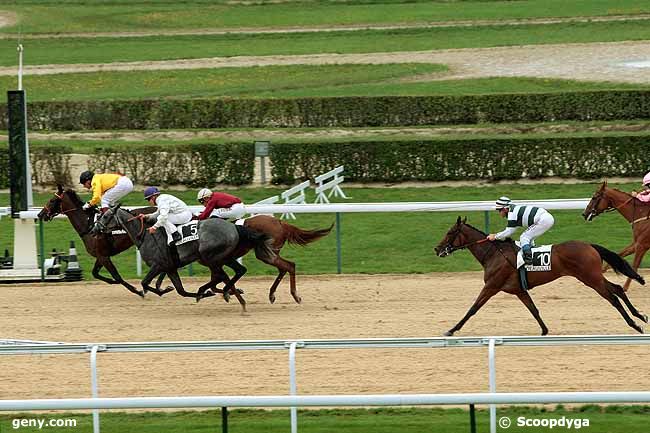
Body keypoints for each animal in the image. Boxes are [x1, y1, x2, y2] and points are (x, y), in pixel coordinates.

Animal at [37, 184, 171, 298]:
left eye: (52, 200)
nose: (40, 214)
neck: (89, 226)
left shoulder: (104, 256)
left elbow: (117, 276)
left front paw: (138, 291)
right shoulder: (101, 256)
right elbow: (95, 273)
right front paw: (112, 282)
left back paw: (159, 286)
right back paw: (160, 286)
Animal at [91, 204, 274, 308]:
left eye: (105, 216)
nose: (94, 230)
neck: (145, 235)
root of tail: (233, 227)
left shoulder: (158, 265)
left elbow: (144, 283)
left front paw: (158, 290)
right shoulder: (170, 267)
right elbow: (180, 291)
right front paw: (167, 289)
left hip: (211, 257)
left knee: (220, 275)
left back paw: (219, 292)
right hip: (223, 257)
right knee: (238, 271)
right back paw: (225, 292)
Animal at [432, 218, 644, 336]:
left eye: (450, 232)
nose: (437, 249)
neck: (493, 254)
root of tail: (589, 245)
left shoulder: (491, 286)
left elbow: (473, 309)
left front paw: (452, 329)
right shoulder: (518, 290)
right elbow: (534, 310)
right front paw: (544, 330)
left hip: (590, 278)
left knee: (613, 298)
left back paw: (635, 324)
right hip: (593, 276)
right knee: (617, 289)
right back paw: (640, 316)